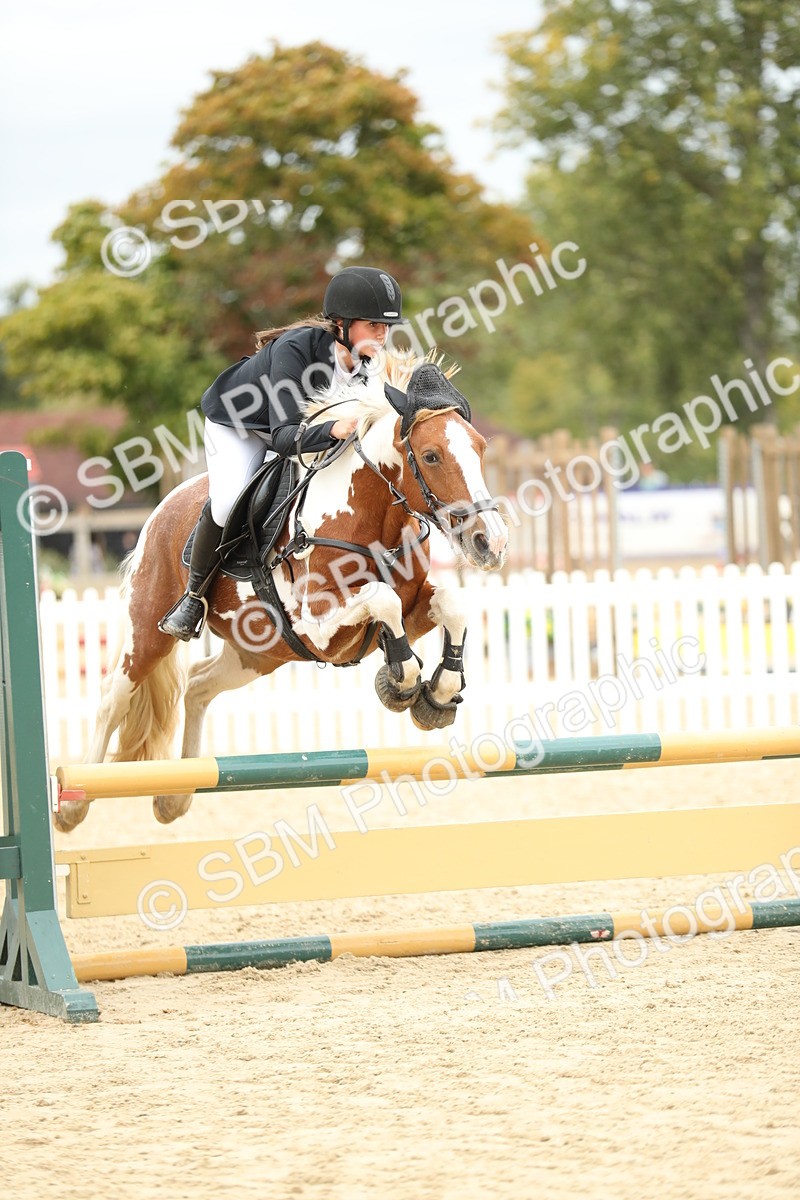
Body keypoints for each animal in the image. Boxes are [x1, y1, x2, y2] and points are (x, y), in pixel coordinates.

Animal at [55, 361, 509, 832]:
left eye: (479, 449)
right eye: (432, 455)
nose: (491, 543)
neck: (371, 517)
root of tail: (164, 505)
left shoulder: (414, 608)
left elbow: (451, 604)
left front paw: (437, 694)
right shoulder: (318, 625)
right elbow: (383, 600)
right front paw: (401, 681)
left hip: (260, 652)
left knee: (197, 685)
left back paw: (175, 796)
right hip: (149, 629)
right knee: (114, 697)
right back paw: (72, 805)